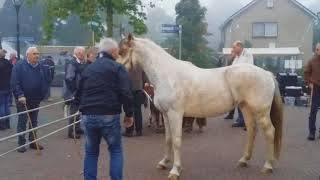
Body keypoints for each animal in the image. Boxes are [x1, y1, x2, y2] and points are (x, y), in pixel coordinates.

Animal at [117, 35, 282, 180]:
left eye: (122, 51)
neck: (167, 75)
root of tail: (267, 74)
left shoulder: (175, 114)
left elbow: (176, 140)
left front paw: (175, 170)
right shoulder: (165, 114)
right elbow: (168, 139)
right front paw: (163, 163)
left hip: (261, 112)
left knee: (270, 132)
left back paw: (267, 166)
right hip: (246, 108)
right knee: (252, 130)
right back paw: (244, 160)